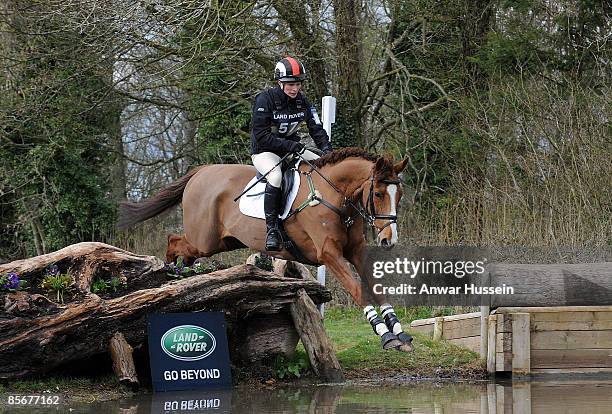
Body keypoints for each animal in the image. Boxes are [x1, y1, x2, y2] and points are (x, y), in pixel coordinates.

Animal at [118, 147, 416, 350]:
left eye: (399, 195)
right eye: (378, 194)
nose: (389, 240)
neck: (334, 197)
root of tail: (202, 171)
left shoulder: (356, 250)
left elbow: (376, 286)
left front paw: (398, 330)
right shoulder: (329, 254)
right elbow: (357, 288)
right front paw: (384, 333)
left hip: (225, 241)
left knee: (183, 248)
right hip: (205, 241)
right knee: (174, 241)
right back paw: (169, 277)